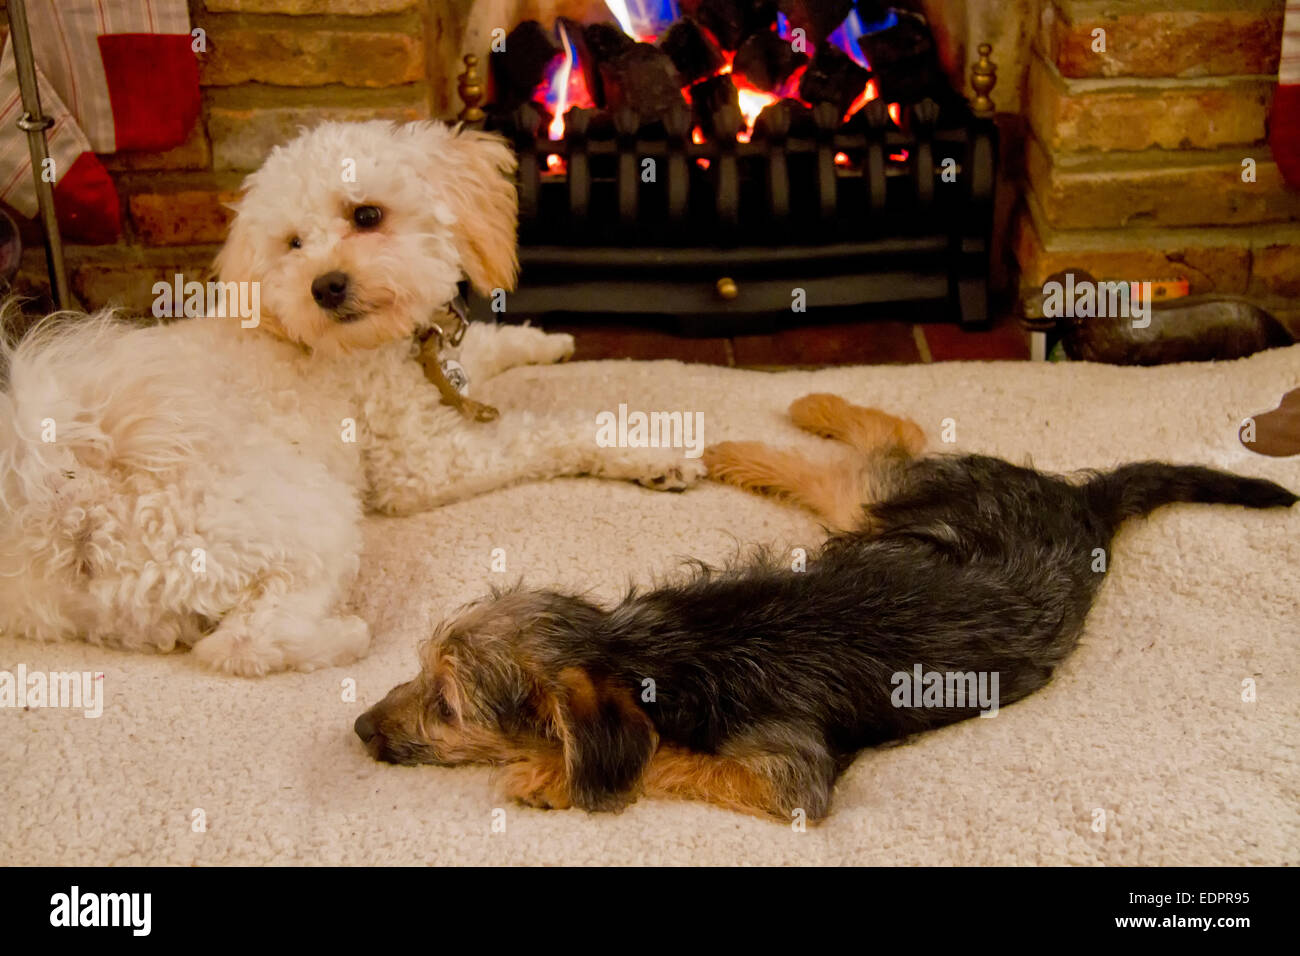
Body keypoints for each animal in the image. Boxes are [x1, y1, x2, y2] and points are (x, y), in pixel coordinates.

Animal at [0, 121, 707, 671]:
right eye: (293, 243)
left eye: (366, 214)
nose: (326, 286)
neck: (374, 347)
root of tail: (64, 503)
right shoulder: (425, 465)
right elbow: (552, 433)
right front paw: (654, 453)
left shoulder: (439, 366)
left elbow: (484, 348)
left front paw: (547, 342)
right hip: (304, 519)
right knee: (244, 643)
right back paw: (347, 636)